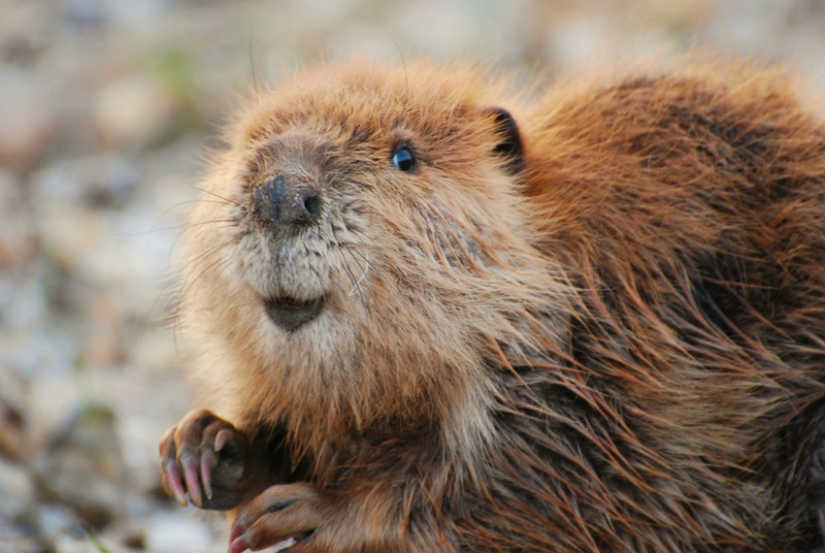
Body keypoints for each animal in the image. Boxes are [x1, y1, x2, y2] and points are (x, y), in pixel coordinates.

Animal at [159, 58, 824, 548]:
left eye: (405, 157)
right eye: (248, 143)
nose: (279, 194)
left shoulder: (614, 371)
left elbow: (535, 481)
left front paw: (310, 511)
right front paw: (203, 448)